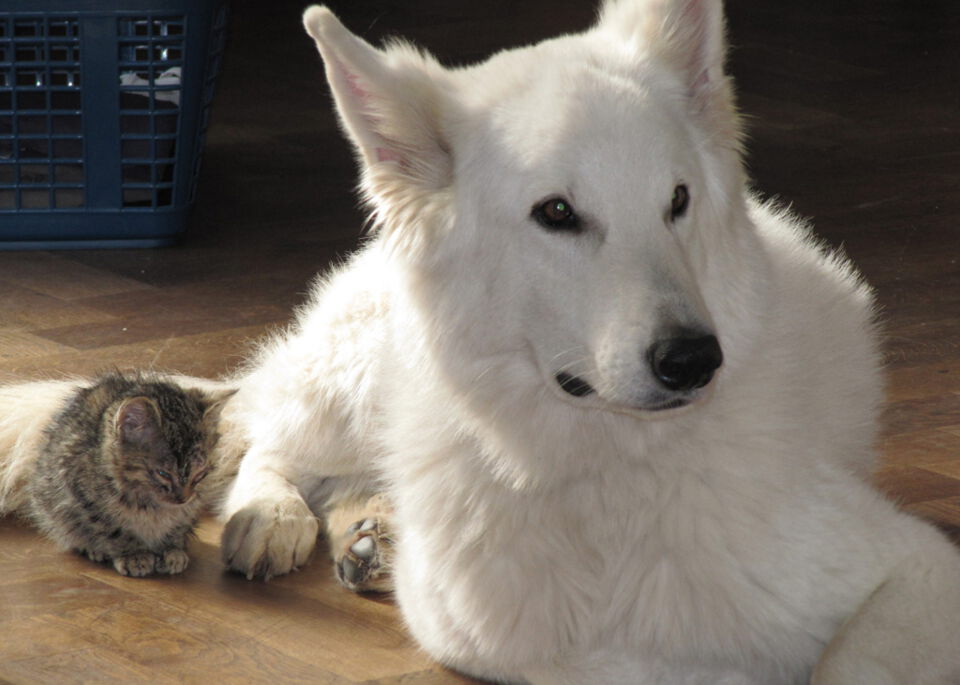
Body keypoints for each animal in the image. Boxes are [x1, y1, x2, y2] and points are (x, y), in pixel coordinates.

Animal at [26, 372, 231, 576]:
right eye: (163, 473)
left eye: (200, 474)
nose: (183, 498)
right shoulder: (82, 497)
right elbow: (113, 530)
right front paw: (134, 555)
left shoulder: (191, 507)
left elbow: (178, 525)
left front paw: (171, 550)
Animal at [218, 2, 960, 680]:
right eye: (557, 212)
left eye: (678, 200)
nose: (695, 360)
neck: (608, 475)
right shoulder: (492, 641)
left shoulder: (914, 570)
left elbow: (839, 663)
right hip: (358, 379)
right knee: (271, 439)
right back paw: (273, 515)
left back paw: (368, 532)